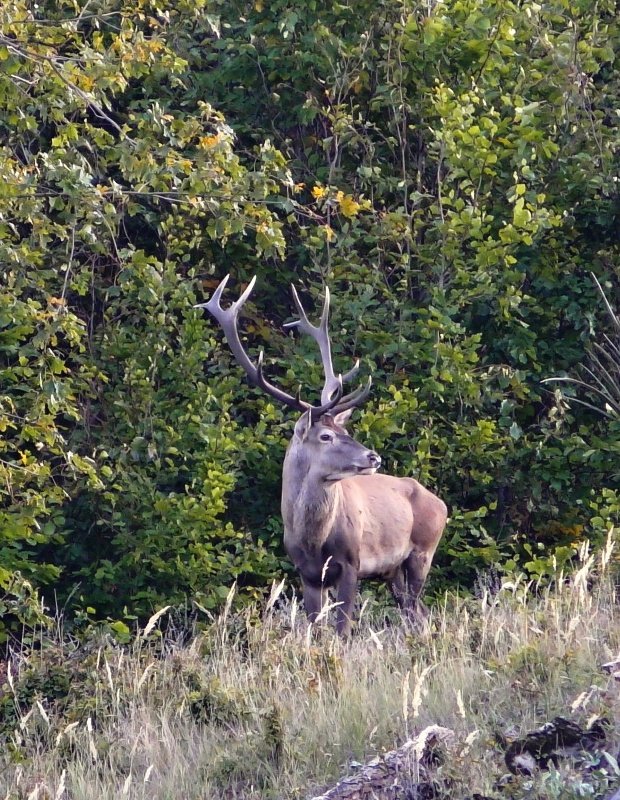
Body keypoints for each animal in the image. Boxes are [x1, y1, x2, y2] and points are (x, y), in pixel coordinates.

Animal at [196, 276, 448, 636]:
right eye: (326, 436)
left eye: (345, 430)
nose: (373, 457)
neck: (312, 541)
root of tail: (441, 504)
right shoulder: (308, 574)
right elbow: (314, 628)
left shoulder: (352, 562)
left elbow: (342, 630)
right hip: (392, 570)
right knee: (416, 612)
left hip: (423, 551)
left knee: (417, 609)